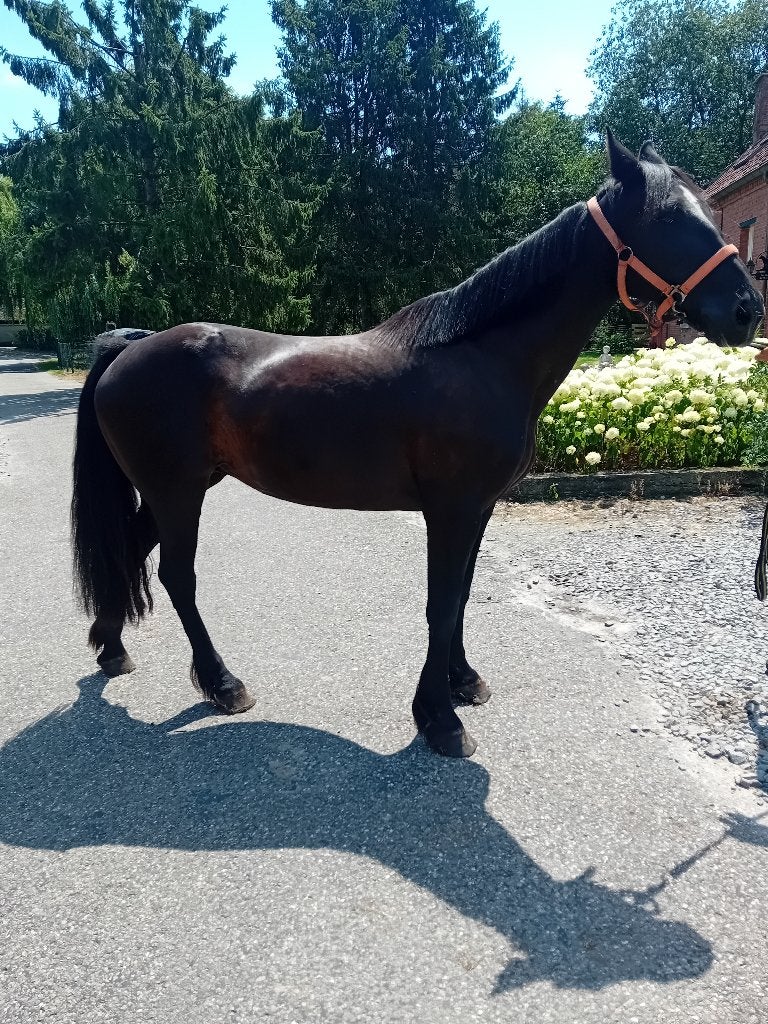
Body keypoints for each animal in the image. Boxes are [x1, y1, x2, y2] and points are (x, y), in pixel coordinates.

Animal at [71, 132, 764, 758]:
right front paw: (438, 719)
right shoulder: (449, 510)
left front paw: (461, 682)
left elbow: (461, 596)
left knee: (129, 552)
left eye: (709, 209)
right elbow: (439, 602)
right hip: (177, 493)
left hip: (176, 491)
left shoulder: (478, 508)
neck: (484, 358)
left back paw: (112, 646)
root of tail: (129, 348)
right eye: (668, 219)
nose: (747, 310)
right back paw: (221, 683)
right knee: (177, 576)